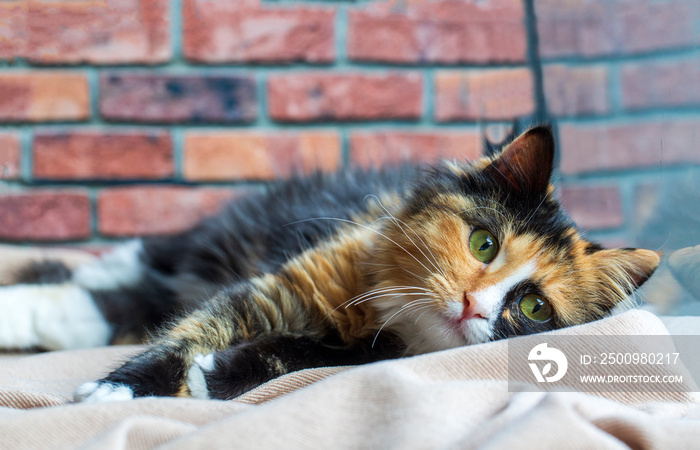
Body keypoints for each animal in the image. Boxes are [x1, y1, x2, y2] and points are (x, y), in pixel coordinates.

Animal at [0, 125, 660, 400]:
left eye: (533, 308)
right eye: (483, 244)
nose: (475, 305)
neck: (395, 318)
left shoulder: (361, 356)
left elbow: (297, 354)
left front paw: (215, 376)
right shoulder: (278, 286)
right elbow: (182, 338)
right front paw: (121, 390)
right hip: (202, 246)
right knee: (116, 276)